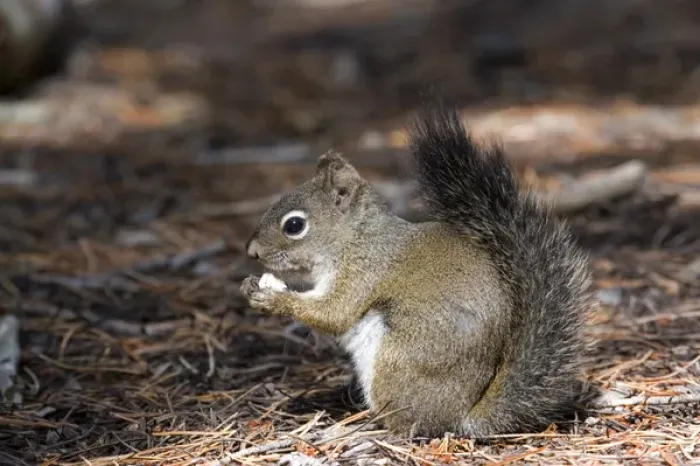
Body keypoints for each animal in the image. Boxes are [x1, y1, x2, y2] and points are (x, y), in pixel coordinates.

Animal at [240, 102, 593, 437]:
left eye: (294, 225)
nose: (252, 252)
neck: (354, 239)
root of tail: (461, 418)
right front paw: (250, 285)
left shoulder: (365, 272)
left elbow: (334, 313)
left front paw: (274, 300)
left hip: (398, 359)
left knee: (409, 422)